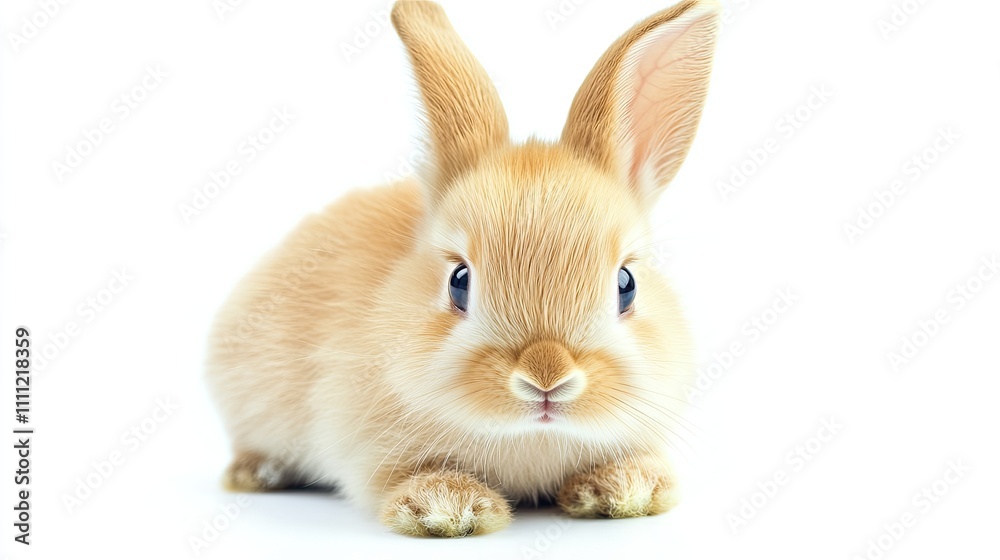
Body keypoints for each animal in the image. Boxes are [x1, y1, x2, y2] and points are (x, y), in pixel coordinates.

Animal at [205, 0, 720, 538]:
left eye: (626, 284)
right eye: (459, 282)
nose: (546, 378)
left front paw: (625, 489)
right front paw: (449, 508)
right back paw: (255, 473)